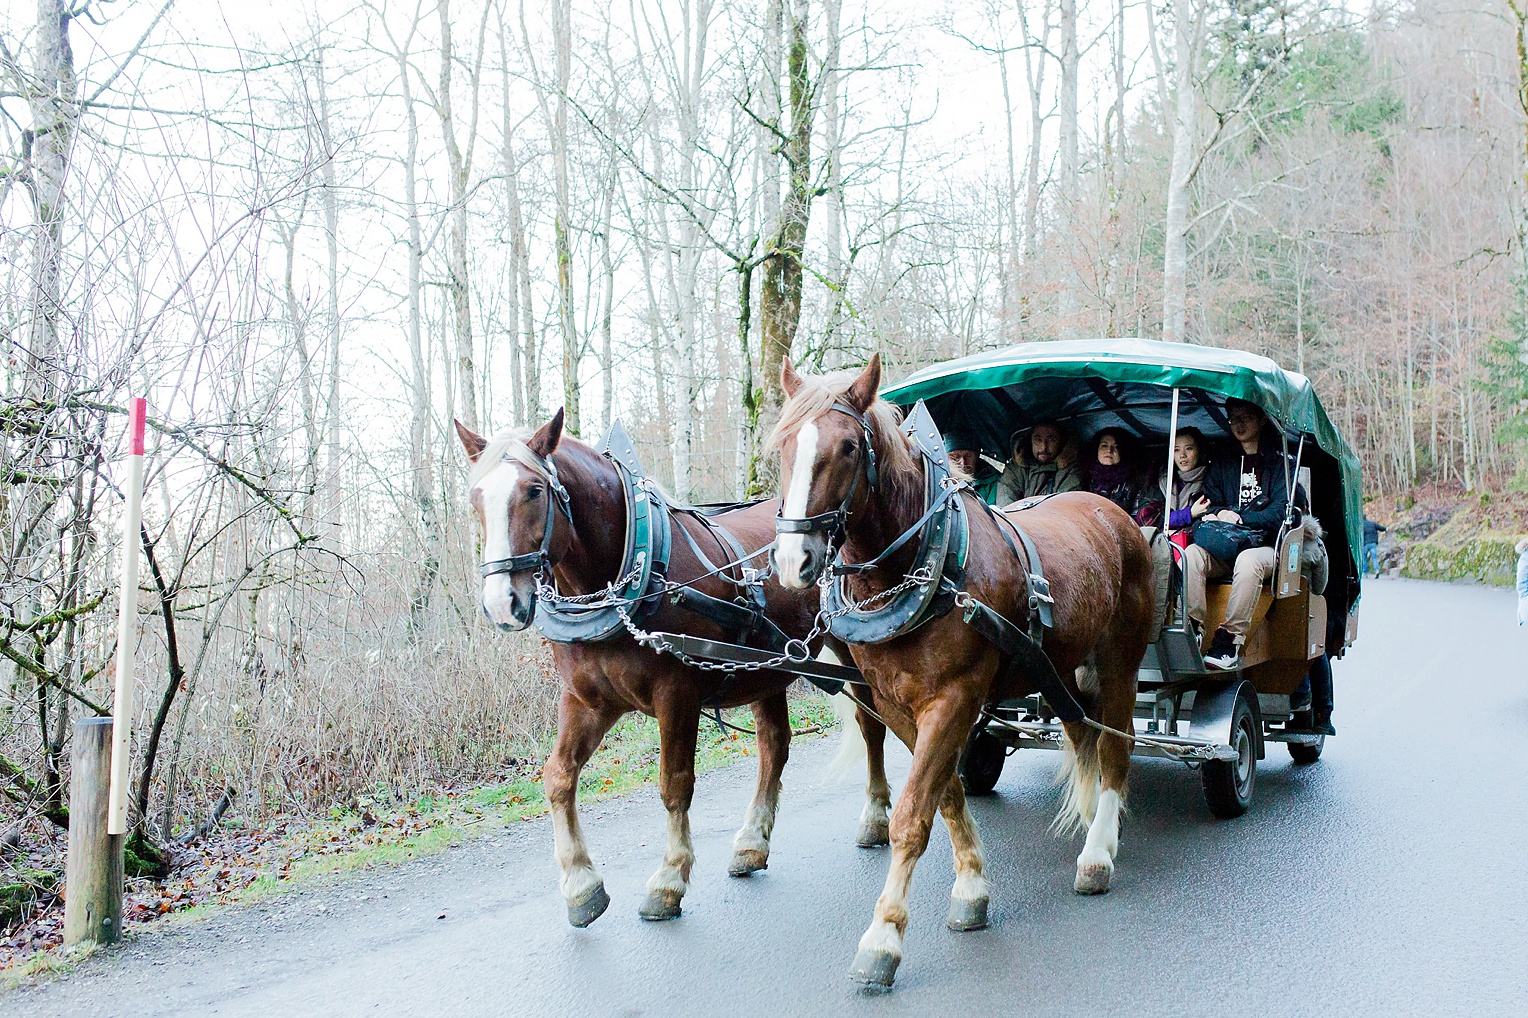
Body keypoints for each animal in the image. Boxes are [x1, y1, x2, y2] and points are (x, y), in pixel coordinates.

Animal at [452, 412, 892, 929]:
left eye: (534, 491)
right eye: (475, 497)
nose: (502, 603)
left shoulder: (676, 695)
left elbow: (674, 784)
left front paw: (668, 880)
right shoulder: (586, 700)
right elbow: (558, 776)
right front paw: (581, 885)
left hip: (851, 646)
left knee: (871, 723)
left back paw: (876, 817)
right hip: (770, 665)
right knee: (774, 745)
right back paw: (751, 843)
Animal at [770, 354, 1149, 984]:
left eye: (847, 446)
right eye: (781, 445)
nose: (792, 560)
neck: (928, 562)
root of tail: (1111, 513)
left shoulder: (953, 699)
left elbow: (912, 813)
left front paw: (883, 937)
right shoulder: (896, 704)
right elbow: (944, 794)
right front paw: (972, 888)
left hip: (1120, 658)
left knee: (1117, 745)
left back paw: (1098, 852)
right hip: (1061, 665)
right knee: (1081, 731)